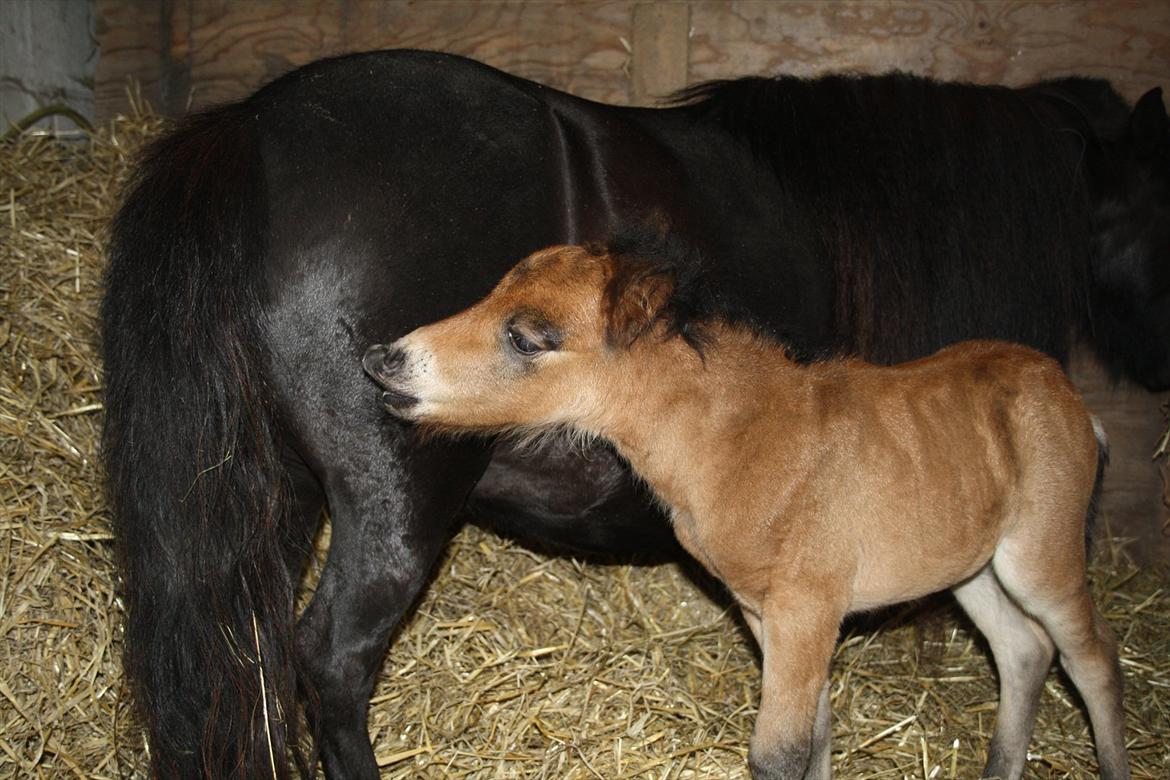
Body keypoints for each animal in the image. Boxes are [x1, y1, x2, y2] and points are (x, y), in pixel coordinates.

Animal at [362, 239, 1123, 780]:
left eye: (528, 337)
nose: (382, 361)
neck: (744, 442)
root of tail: (1073, 401)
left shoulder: (806, 609)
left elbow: (778, 754)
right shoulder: (767, 613)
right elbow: (815, 738)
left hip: (1041, 553)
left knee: (1091, 657)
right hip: (972, 566)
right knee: (1024, 649)